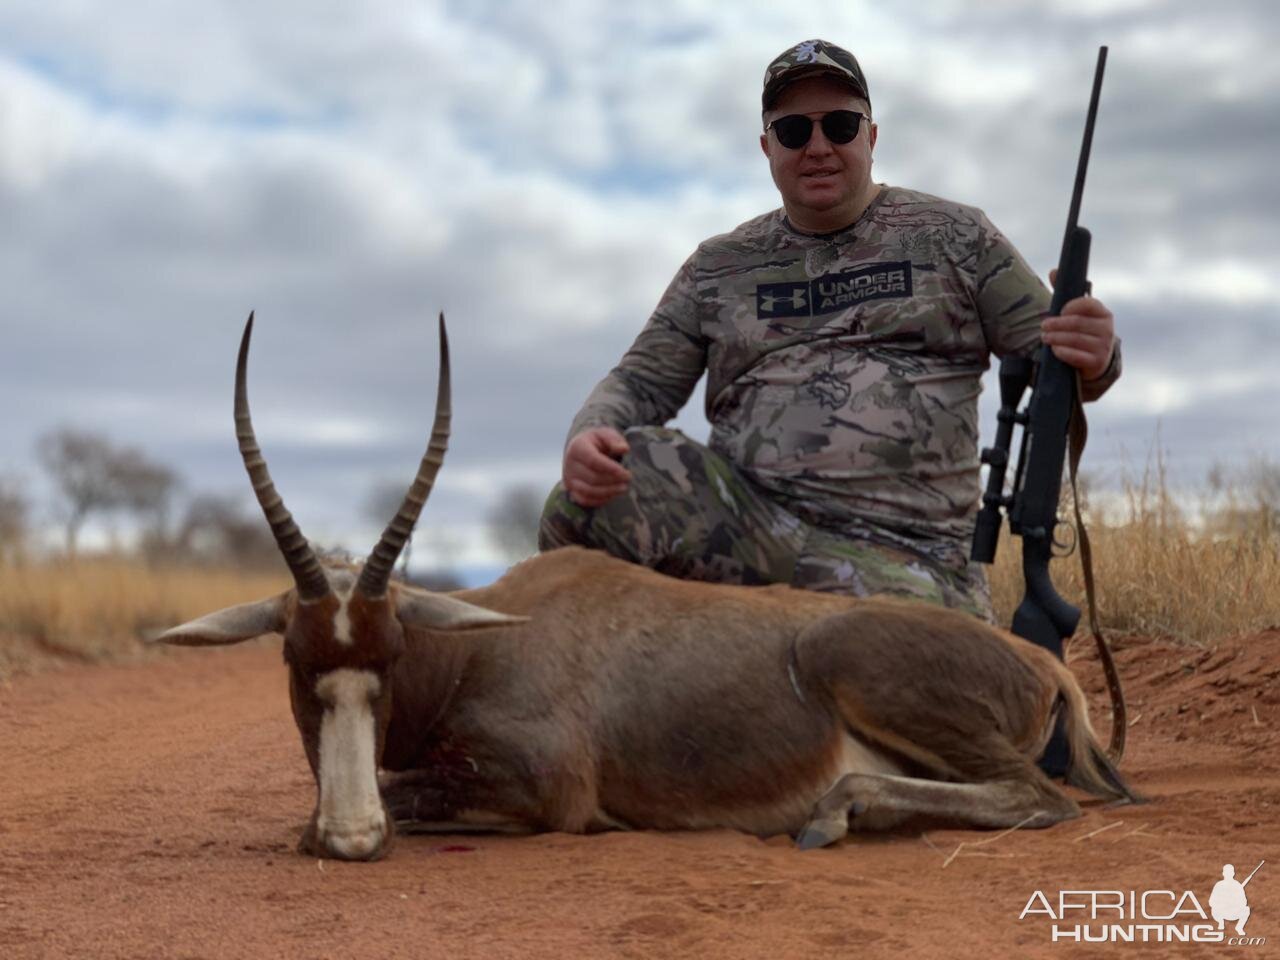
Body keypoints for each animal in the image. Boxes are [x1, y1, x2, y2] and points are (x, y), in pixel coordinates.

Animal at [157, 313, 1141, 865]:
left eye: (392, 652)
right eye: (294, 661)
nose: (351, 840)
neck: (486, 643)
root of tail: (1043, 666)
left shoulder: (545, 791)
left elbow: (405, 790)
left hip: (867, 671)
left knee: (1040, 797)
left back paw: (833, 814)